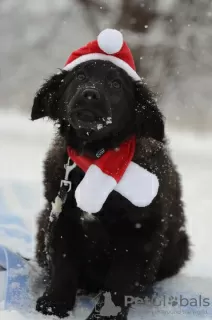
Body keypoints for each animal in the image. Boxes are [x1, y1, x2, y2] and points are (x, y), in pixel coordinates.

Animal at [31, 31, 190, 318]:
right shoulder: (61, 217)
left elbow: (119, 282)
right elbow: (63, 266)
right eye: (80, 77)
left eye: (116, 84)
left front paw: (105, 314)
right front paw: (55, 302)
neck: (95, 157)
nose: (90, 95)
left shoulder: (138, 233)